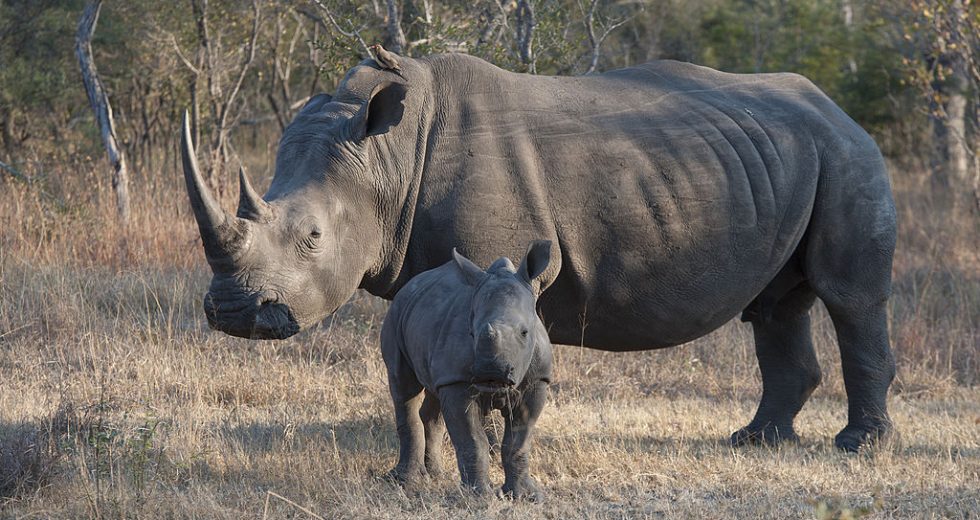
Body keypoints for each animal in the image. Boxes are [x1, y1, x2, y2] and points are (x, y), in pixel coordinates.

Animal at [181, 51, 897, 452]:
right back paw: (754, 442)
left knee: (849, 297)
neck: (387, 160)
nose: (232, 314)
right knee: (776, 305)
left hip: (847, 154)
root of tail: (839, 109)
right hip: (781, 157)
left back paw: (856, 447)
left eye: (311, 238)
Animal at [381, 240, 554, 497]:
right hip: (395, 315)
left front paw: (526, 496)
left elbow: (518, 442)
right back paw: (406, 482)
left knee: (432, 398)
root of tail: (409, 285)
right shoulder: (457, 380)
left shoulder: (537, 380)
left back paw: (436, 475)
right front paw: (479, 497)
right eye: (471, 333)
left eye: (524, 333)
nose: (491, 372)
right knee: (404, 387)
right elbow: (472, 440)